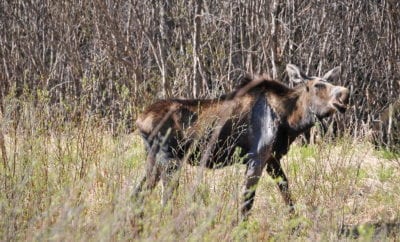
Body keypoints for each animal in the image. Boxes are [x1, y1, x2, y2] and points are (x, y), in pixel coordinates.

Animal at [135, 63, 350, 217]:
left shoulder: (272, 158)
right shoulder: (257, 156)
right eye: (318, 85)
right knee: (164, 198)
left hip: (153, 159)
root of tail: (140, 121)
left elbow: (285, 190)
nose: (345, 94)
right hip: (169, 161)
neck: (290, 120)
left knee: (138, 193)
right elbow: (247, 200)